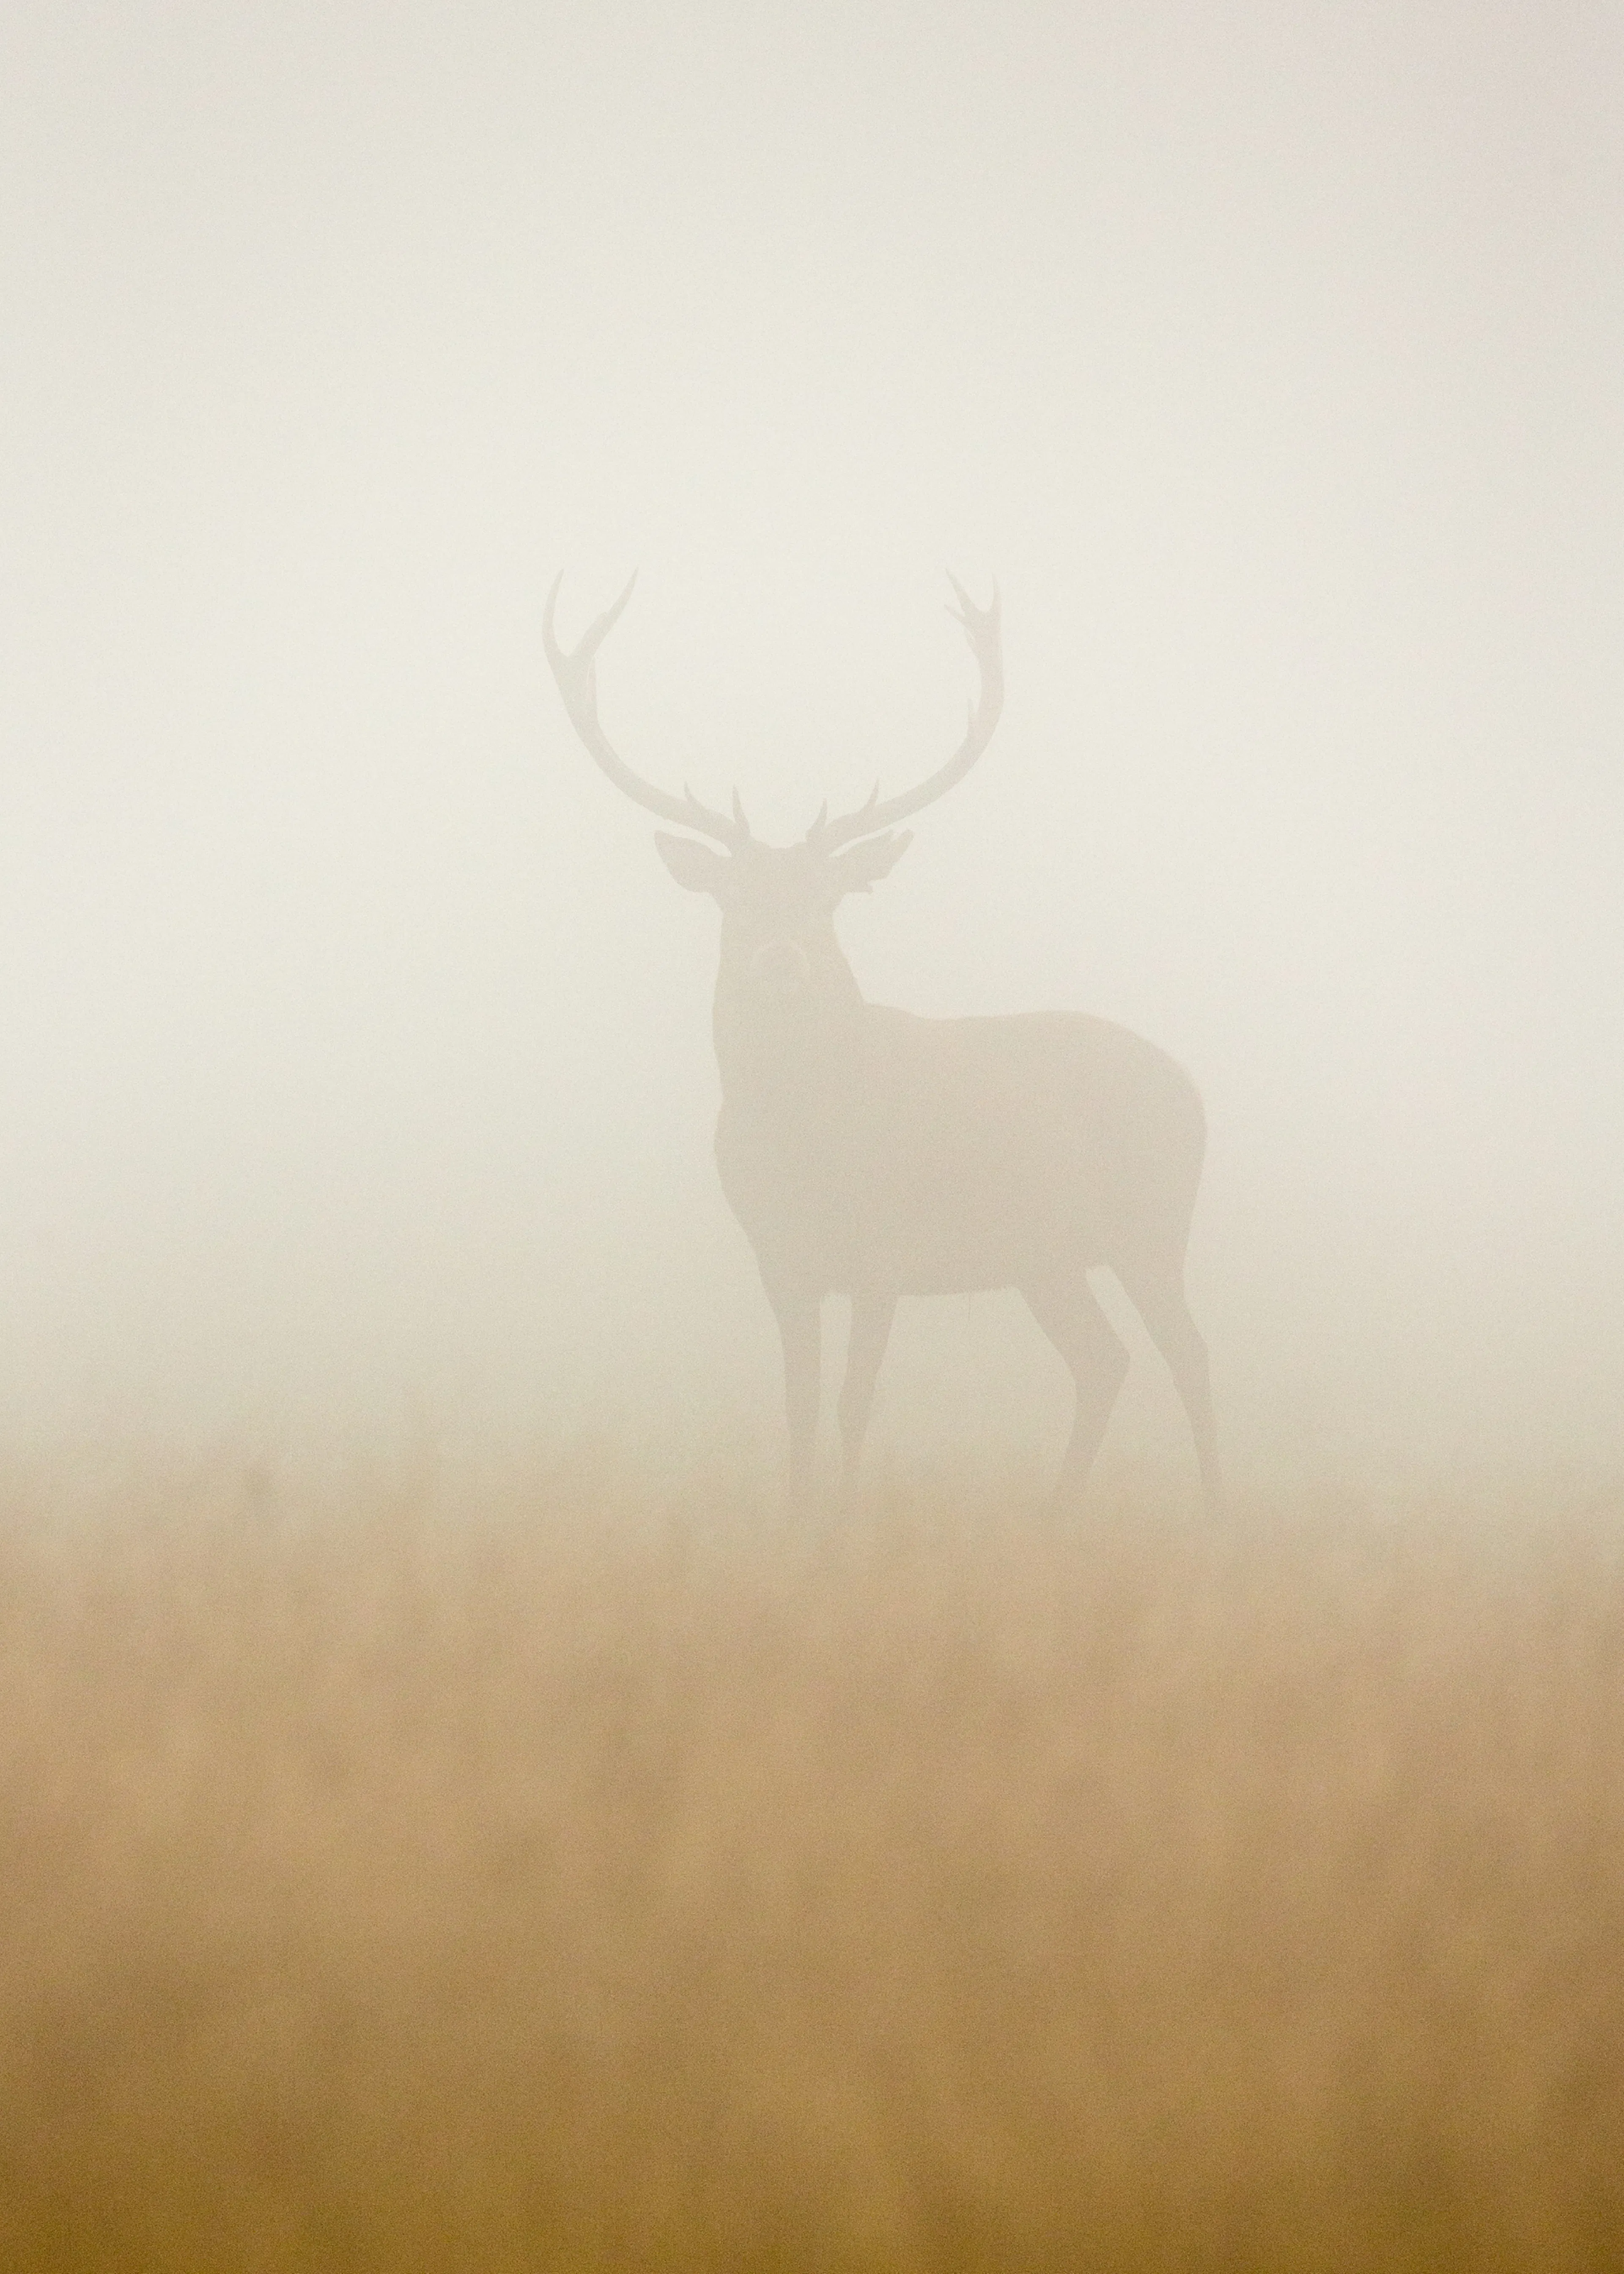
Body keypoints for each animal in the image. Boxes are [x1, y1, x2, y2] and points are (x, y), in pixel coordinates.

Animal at [543, 573, 1222, 1517]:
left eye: (829, 899)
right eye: (733, 897)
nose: (781, 958)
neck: (803, 1141)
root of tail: (1191, 1087)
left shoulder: (885, 1248)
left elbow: (855, 1399)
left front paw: (844, 1522)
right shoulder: (778, 1255)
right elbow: (797, 1399)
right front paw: (796, 1519)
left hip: (1152, 1220)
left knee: (1188, 1354)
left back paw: (1216, 1511)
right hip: (1046, 1257)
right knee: (1104, 1359)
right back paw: (1056, 1516)